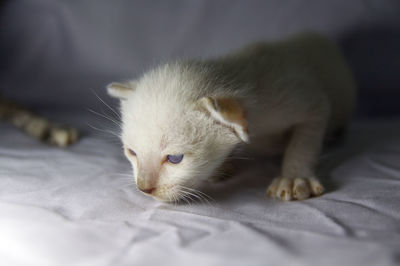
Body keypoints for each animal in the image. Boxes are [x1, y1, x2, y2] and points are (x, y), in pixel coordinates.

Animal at [107, 32, 356, 202]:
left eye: (175, 158)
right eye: (132, 153)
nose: (143, 188)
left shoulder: (308, 101)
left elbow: (304, 142)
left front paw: (295, 177)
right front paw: (223, 167)